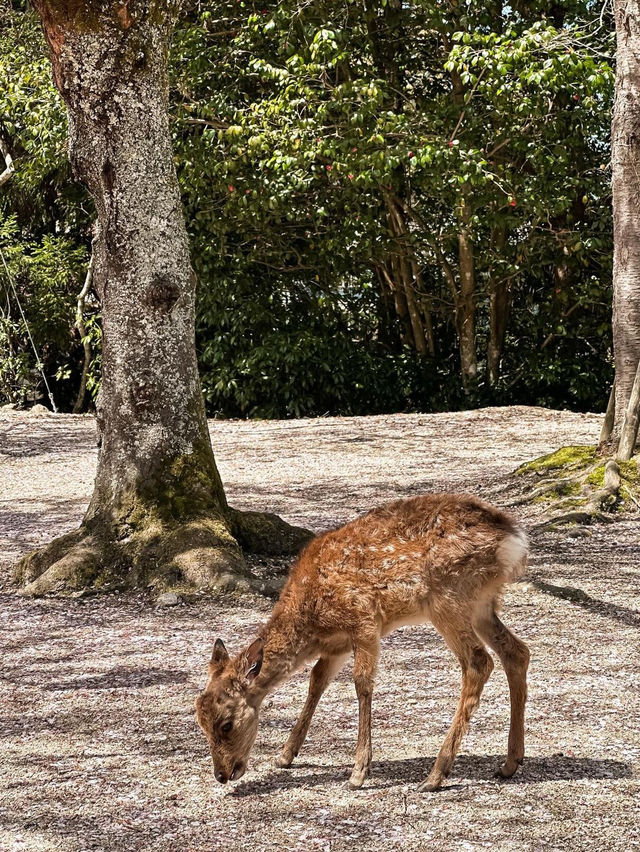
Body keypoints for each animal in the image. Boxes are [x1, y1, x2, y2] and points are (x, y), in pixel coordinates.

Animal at [196, 492, 528, 792]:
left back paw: (435, 775)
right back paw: (510, 762)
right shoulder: (337, 646)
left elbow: (362, 683)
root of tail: (513, 539)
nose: (221, 774)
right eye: (200, 722)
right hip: (481, 604)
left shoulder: (364, 621)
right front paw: (285, 755)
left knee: (479, 661)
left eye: (226, 724)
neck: (311, 620)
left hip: (448, 598)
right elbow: (317, 680)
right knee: (517, 651)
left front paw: (358, 772)